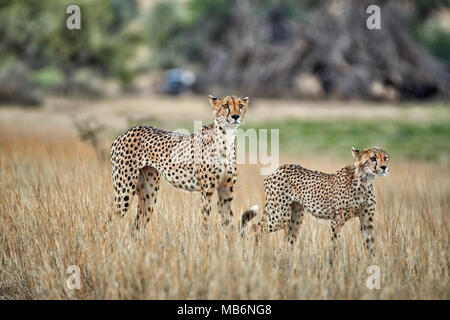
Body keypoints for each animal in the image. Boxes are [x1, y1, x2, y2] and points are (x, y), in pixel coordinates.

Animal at [109, 95, 250, 230]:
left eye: (241, 105)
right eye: (225, 105)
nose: (235, 116)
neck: (226, 138)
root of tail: (125, 133)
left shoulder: (226, 192)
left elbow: (228, 223)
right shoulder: (206, 191)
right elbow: (205, 222)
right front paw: (206, 238)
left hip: (149, 192)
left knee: (137, 225)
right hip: (124, 189)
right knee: (112, 218)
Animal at [241, 147, 388, 260]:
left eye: (385, 158)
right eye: (373, 158)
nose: (384, 167)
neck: (365, 181)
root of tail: (278, 169)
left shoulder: (367, 220)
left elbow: (370, 245)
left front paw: (373, 265)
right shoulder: (337, 220)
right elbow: (334, 244)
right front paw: (333, 264)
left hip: (296, 216)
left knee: (289, 238)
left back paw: (289, 260)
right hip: (280, 216)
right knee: (256, 227)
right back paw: (256, 255)